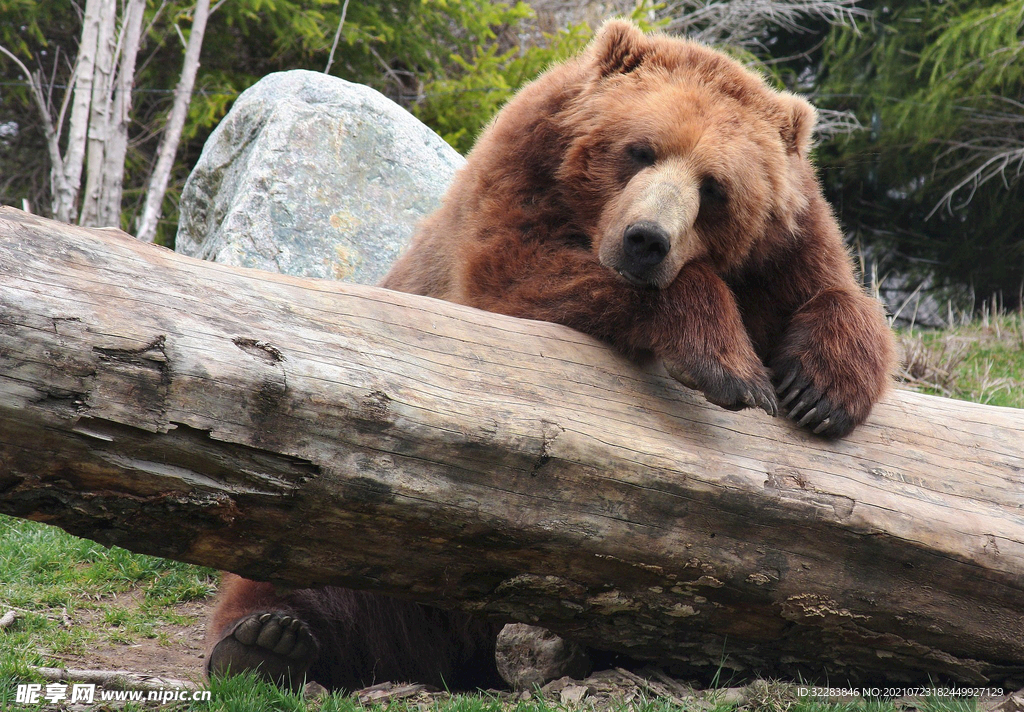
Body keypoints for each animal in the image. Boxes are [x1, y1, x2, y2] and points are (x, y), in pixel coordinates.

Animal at [205, 19, 896, 691]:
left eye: (715, 188)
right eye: (640, 150)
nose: (646, 240)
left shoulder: (786, 252)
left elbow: (838, 293)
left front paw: (821, 389)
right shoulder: (518, 189)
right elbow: (521, 279)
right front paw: (730, 365)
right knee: (316, 569)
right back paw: (267, 639)